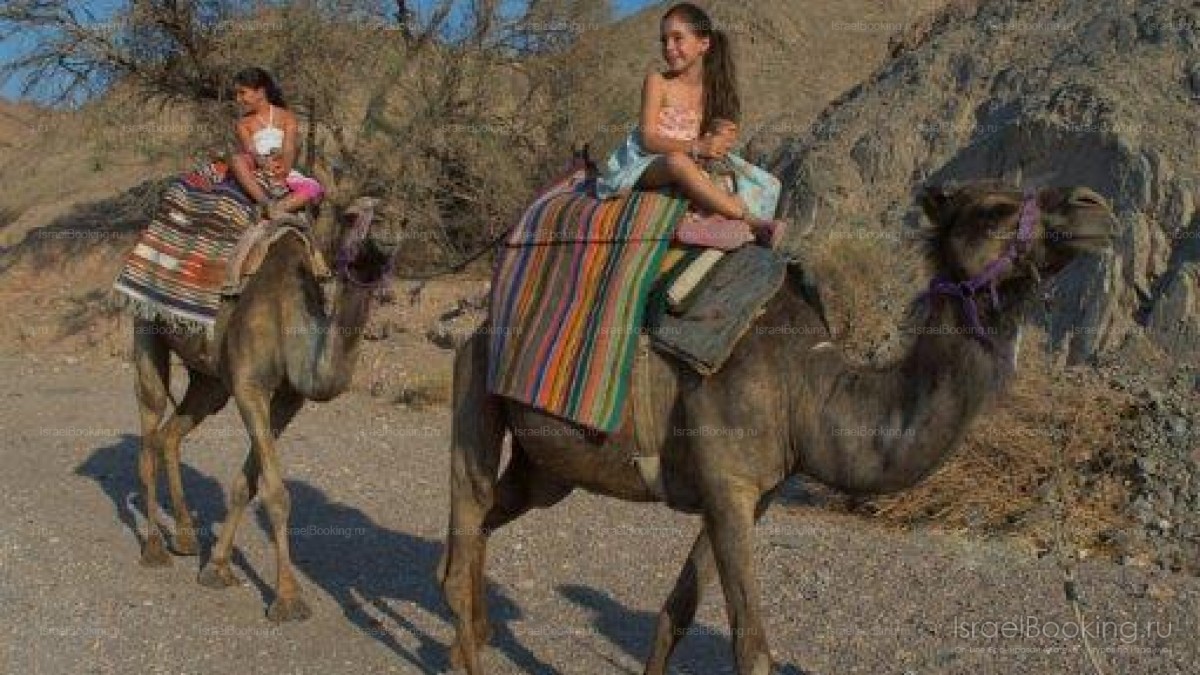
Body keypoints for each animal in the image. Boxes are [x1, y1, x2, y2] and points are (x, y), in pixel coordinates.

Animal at [132, 198, 400, 622]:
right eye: (351, 216)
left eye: (402, 219)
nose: (388, 226)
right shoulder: (250, 386)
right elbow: (276, 493)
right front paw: (288, 598)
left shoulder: (289, 399)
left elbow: (247, 484)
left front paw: (217, 567)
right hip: (146, 329)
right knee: (150, 424)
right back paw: (155, 549)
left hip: (209, 381)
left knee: (170, 434)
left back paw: (187, 538)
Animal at [440, 183, 1117, 674]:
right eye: (996, 206)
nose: (1097, 206)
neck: (805, 388)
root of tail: (483, 315)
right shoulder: (729, 488)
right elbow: (751, 646)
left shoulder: (750, 495)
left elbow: (675, 615)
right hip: (474, 386)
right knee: (468, 512)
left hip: (549, 468)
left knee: (488, 521)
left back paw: (473, 634)